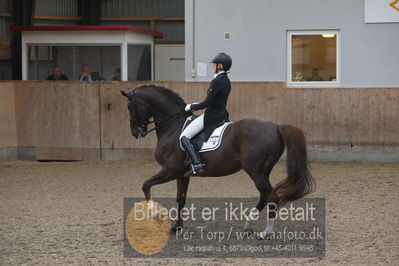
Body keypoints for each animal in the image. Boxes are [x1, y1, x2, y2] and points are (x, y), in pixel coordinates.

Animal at [120, 84, 314, 235]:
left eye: (129, 106)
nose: (136, 132)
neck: (173, 126)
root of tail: (276, 126)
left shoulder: (170, 170)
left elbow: (146, 185)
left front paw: (155, 216)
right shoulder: (183, 174)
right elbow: (180, 199)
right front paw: (177, 228)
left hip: (256, 172)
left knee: (271, 196)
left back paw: (265, 232)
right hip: (261, 172)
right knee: (265, 196)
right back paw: (248, 224)